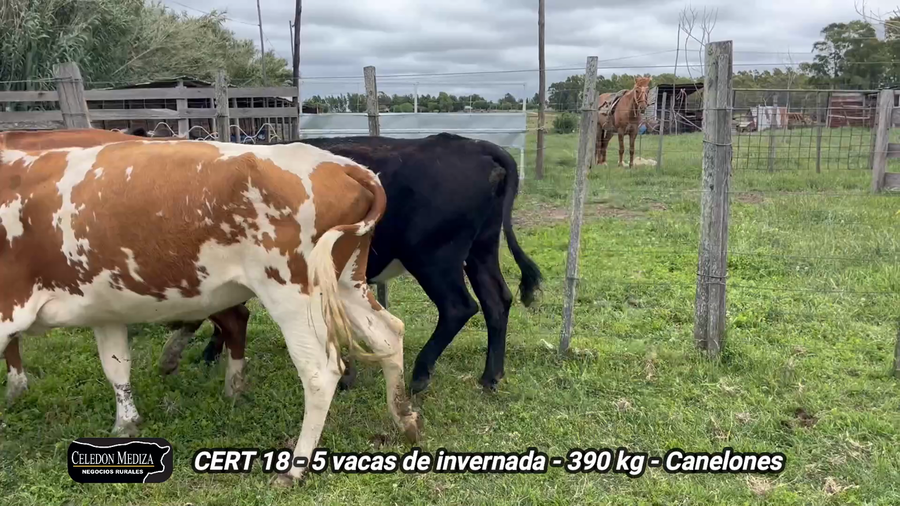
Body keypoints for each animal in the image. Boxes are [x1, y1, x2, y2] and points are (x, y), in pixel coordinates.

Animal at [0, 133, 420, 485]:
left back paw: (294, 469)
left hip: (289, 290)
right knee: (388, 333)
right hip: (345, 282)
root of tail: (340, 164)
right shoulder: (105, 307)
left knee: (320, 372)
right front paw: (126, 425)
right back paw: (405, 420)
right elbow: (116, 366)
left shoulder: (9, 309)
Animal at [159, 134, 542, 395]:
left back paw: (420, 375)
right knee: (497, 301)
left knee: (459, 307)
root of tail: (475, 146)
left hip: (434, 256)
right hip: (480, 248)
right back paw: (490, 377)